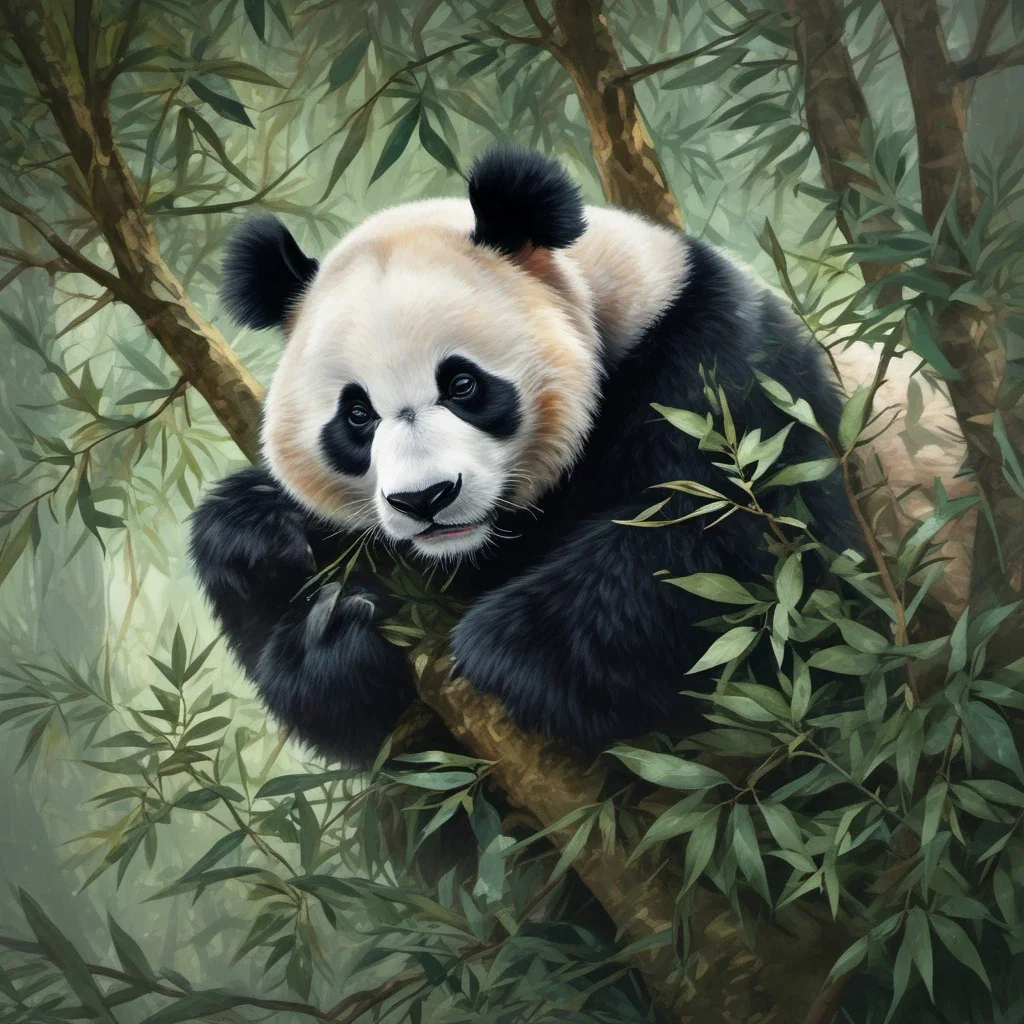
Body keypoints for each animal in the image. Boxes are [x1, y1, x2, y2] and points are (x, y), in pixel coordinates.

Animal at [189, 146, 853, 766]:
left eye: (462, 384)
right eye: (357, 415)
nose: (425, 499)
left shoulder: (716, 369)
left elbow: (727, 541)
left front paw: (503, 653)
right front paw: (297, 591)